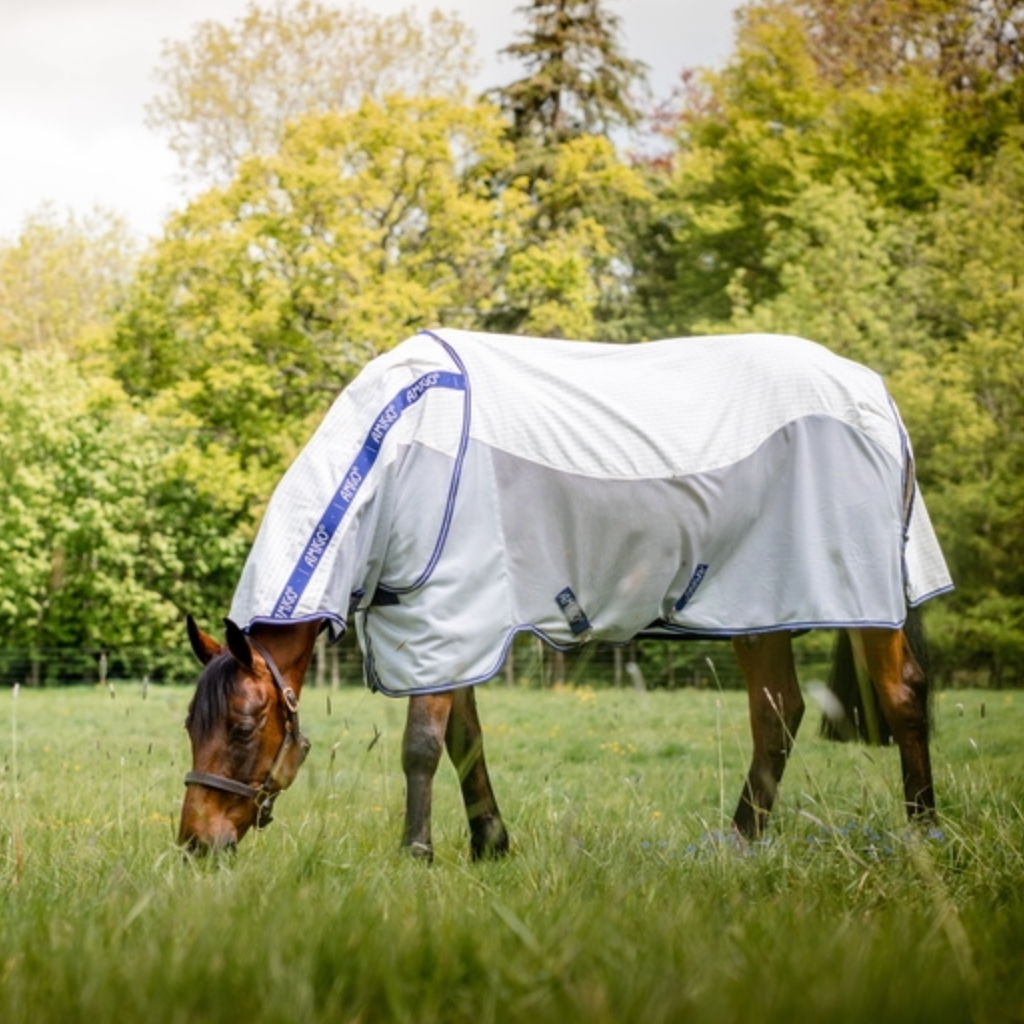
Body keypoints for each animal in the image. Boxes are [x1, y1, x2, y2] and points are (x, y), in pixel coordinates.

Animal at [178, 329, 952, 855]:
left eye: (243, 727)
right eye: (191, 726)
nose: (195, 843)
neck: (394, 456)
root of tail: (874, 393)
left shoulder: (449, 616)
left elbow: (422, 745)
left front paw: (417, 854)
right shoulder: (451, 630)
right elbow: (464, 739)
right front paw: (490, 845)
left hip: (856, 600)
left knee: (901, 694)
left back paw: (925, 832)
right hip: (760, 607)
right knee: (778, 714)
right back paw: (739, 843)